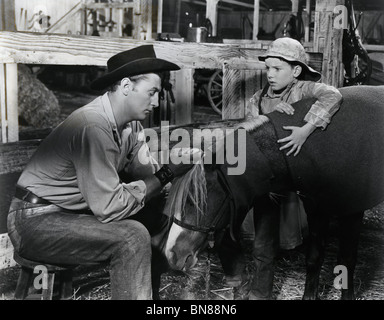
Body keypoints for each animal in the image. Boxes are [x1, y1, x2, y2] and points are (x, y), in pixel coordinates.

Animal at [162, 85, 384, 300]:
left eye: (194, 202)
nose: (172, 254)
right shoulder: (316, 209)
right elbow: (314, 257)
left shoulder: (353, 212)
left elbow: (347, 260)